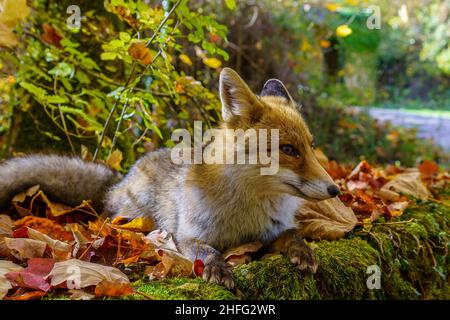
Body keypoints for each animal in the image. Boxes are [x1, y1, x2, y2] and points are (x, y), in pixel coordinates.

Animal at [0, 69, 338, 288]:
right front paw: (217, 269)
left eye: (311, 146)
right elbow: (208, 251)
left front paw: (303, 252)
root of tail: (123, 176)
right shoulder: (185, 234)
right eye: (288, 149)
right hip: (136, 215)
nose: (335, 189)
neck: (246, 212)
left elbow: (293, 234)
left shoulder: (271, 231)